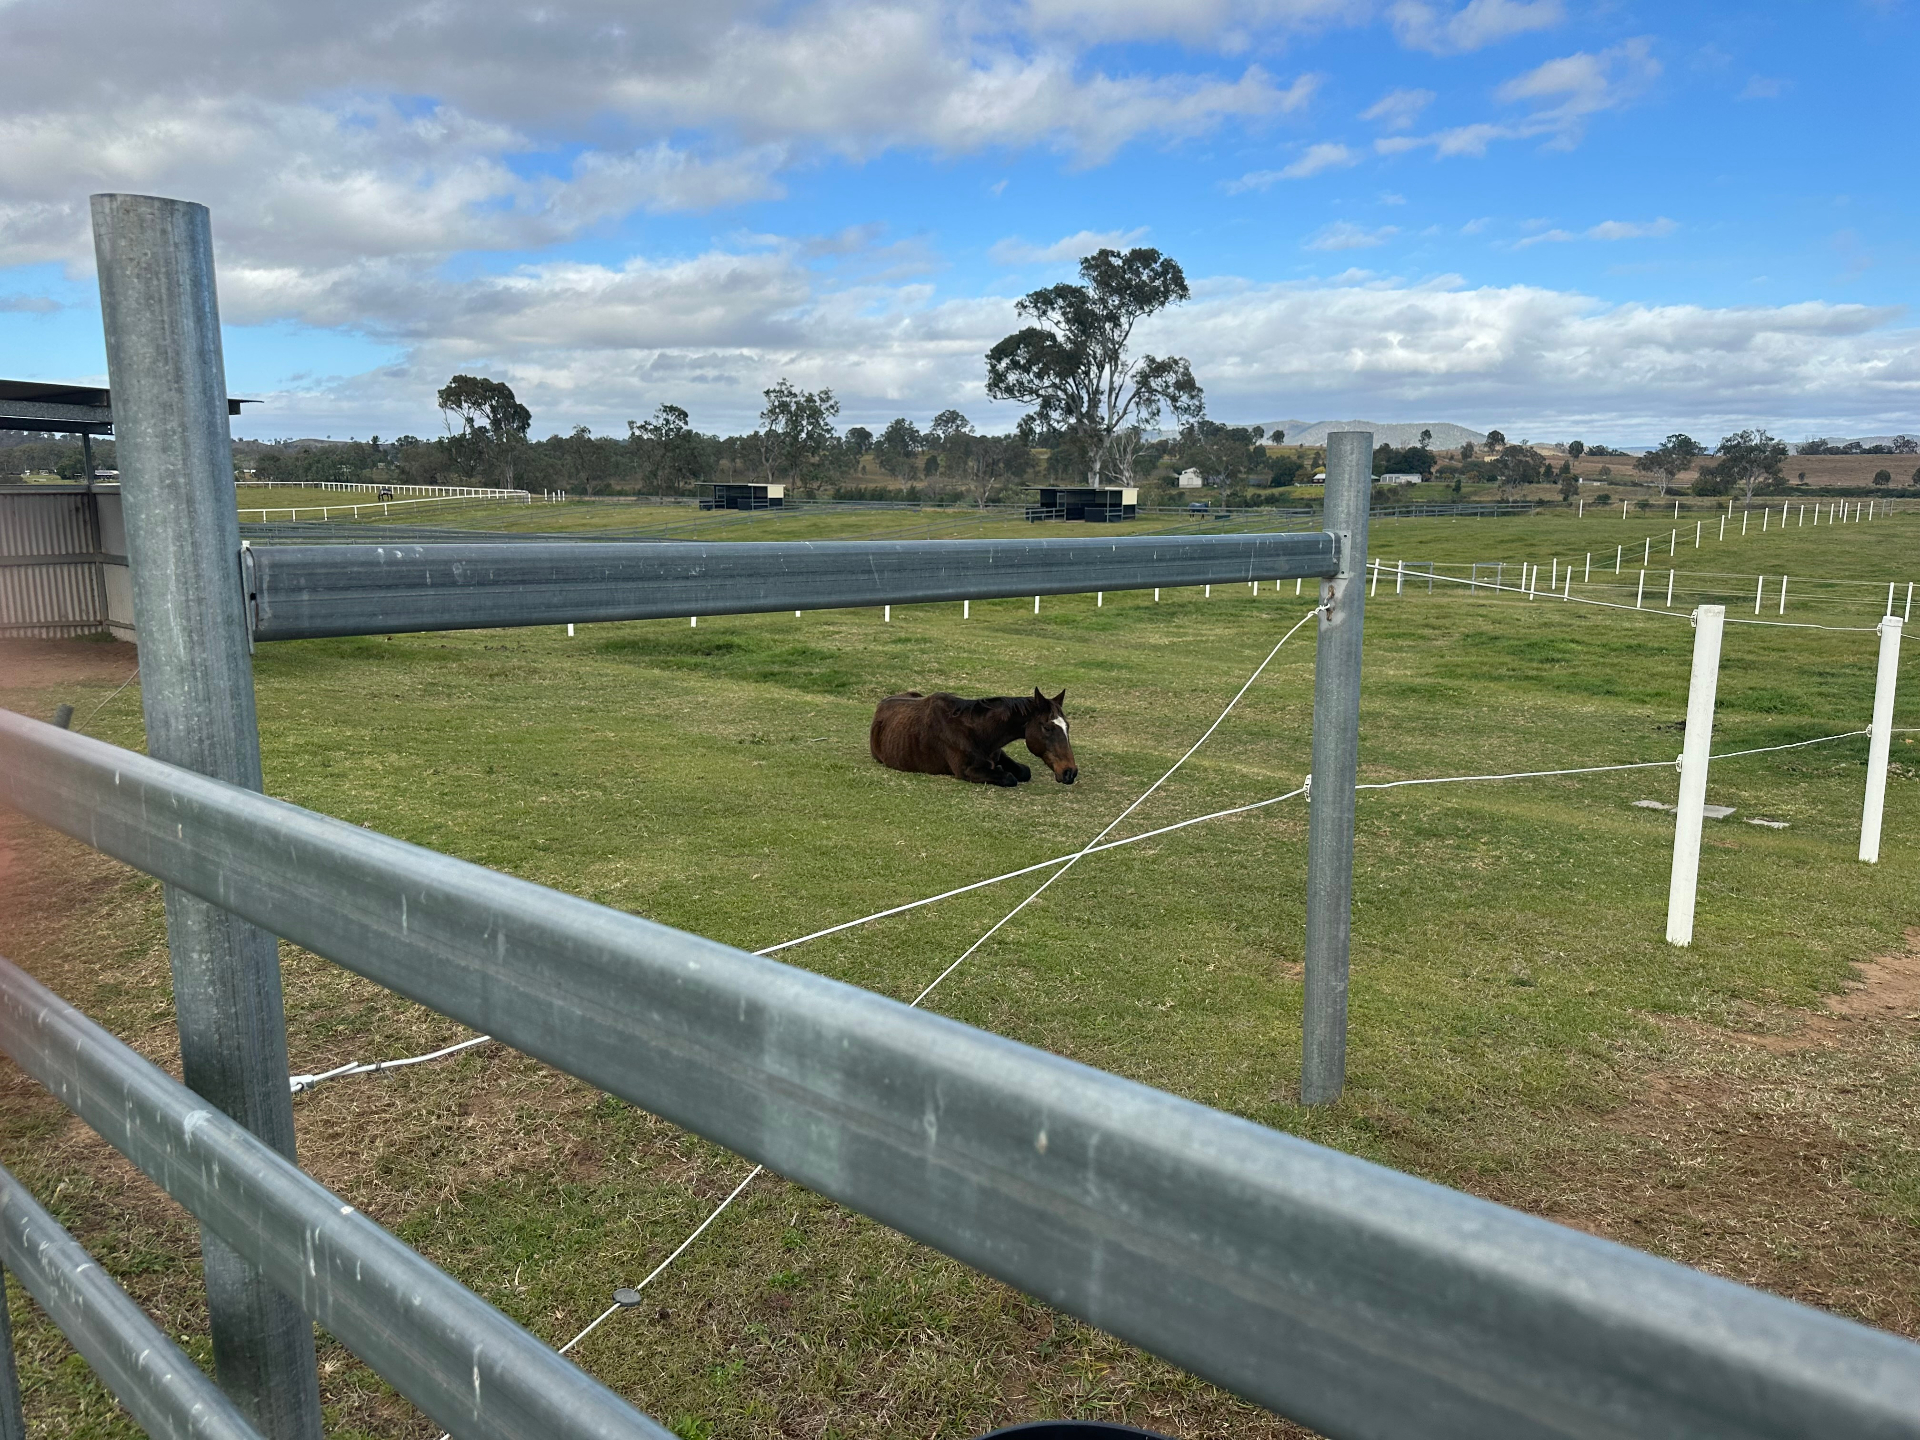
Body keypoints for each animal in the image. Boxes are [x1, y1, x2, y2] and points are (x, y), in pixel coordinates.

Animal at [870, 688, 1078, 787]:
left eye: (1067, 726)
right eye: (1047, 728)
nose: (1070, 772)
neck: (977, 732)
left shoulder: (998, 754)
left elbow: (1024, 771)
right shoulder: (967, 771)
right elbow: (1009, 777)